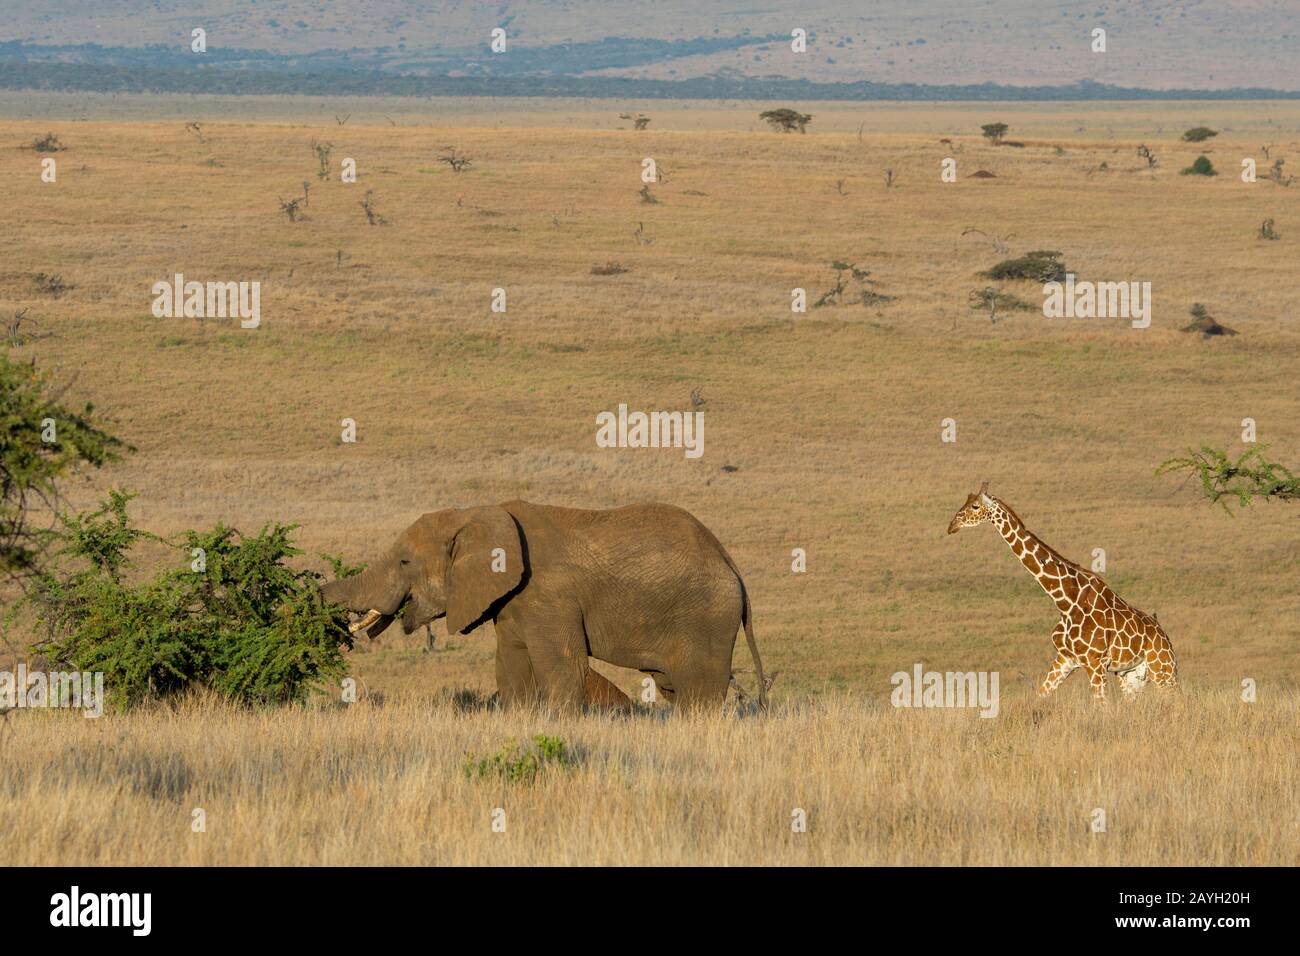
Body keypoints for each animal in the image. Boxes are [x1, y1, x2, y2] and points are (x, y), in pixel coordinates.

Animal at [323, 502, 764, 712]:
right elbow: (511, 666)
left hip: (707, 617)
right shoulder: (511, 604)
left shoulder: (549, 595)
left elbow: (563, 667)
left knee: (699, 692)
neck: (475, 513)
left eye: (403, 562)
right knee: (674, 686)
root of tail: (732, 566)